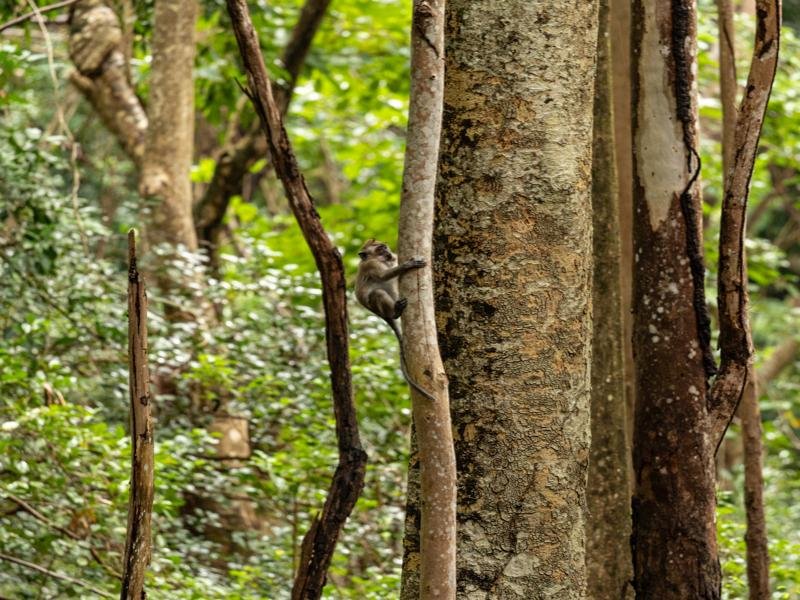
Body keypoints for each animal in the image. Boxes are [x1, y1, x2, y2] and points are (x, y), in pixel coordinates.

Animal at [355, 239, 436, 401]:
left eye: (385, 247)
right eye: (380, 249)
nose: (388, 253)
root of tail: (380, 315)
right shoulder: (371, 265)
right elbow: (383, 276)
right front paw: (408, 265)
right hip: (378, 307)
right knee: (378, 293)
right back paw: (394, 313)